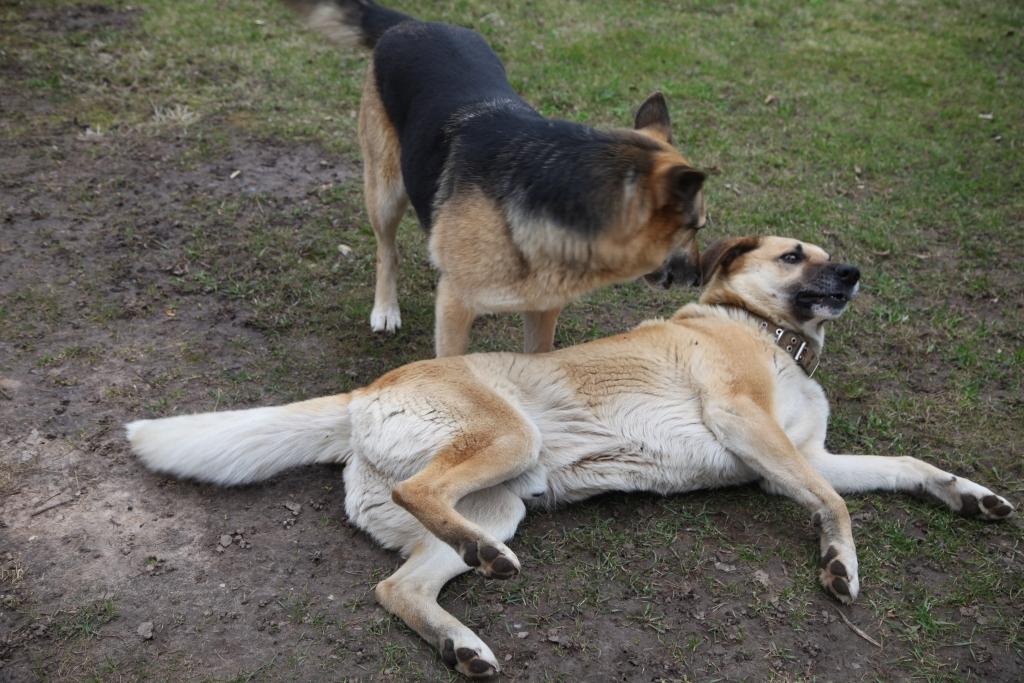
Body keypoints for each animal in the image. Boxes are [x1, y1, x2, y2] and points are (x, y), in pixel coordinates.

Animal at [130, 235, 1015, 679]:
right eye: (795, 255)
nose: (856, 273)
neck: (767, 330)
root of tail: (362, 392)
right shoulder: (748, 427)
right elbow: (836, 504)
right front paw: (840, 563)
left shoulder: (804, 456)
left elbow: (903, 464)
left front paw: (971, 494)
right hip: (508, 443)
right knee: (423, 496)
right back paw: (482, 575)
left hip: (498, 503)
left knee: (398, 584)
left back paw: (463, 638)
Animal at [290, 2, 704, 358]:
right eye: (697, 226)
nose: (700, 279)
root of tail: (412, 24)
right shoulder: (454, 307)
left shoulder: (543, 308)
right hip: (386, 192)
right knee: (387, 251)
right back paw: (386, 309)